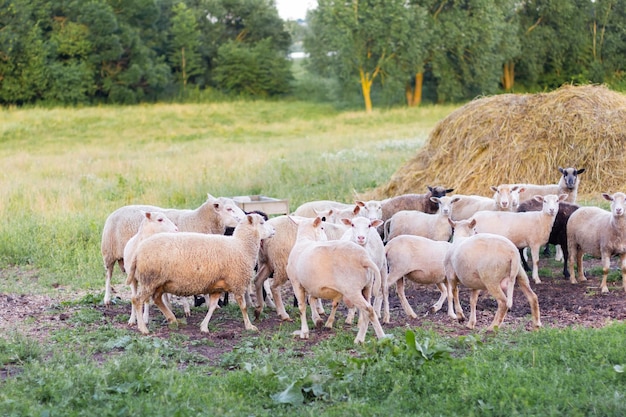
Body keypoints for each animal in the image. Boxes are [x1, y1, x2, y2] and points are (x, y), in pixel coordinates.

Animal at [100, 193, 244, 306]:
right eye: (229, 209)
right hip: (108, 252)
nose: (243, 218)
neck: (198, 220)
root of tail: (115, 211)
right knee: (108, 275)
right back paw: (107, 298)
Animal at [126, 213, 272, 334]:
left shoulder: (217, 286)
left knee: (156, 299)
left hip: (159, 282)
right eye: (261, 223)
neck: (242, 245)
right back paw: (143, 328)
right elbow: (244, 307)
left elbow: (212, 307)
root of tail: (138, 251)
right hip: (150, 279)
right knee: (137, 300)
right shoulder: (237, 282)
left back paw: (172, 319)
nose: (274, 231)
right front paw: (249, 326)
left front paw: (204, 327)